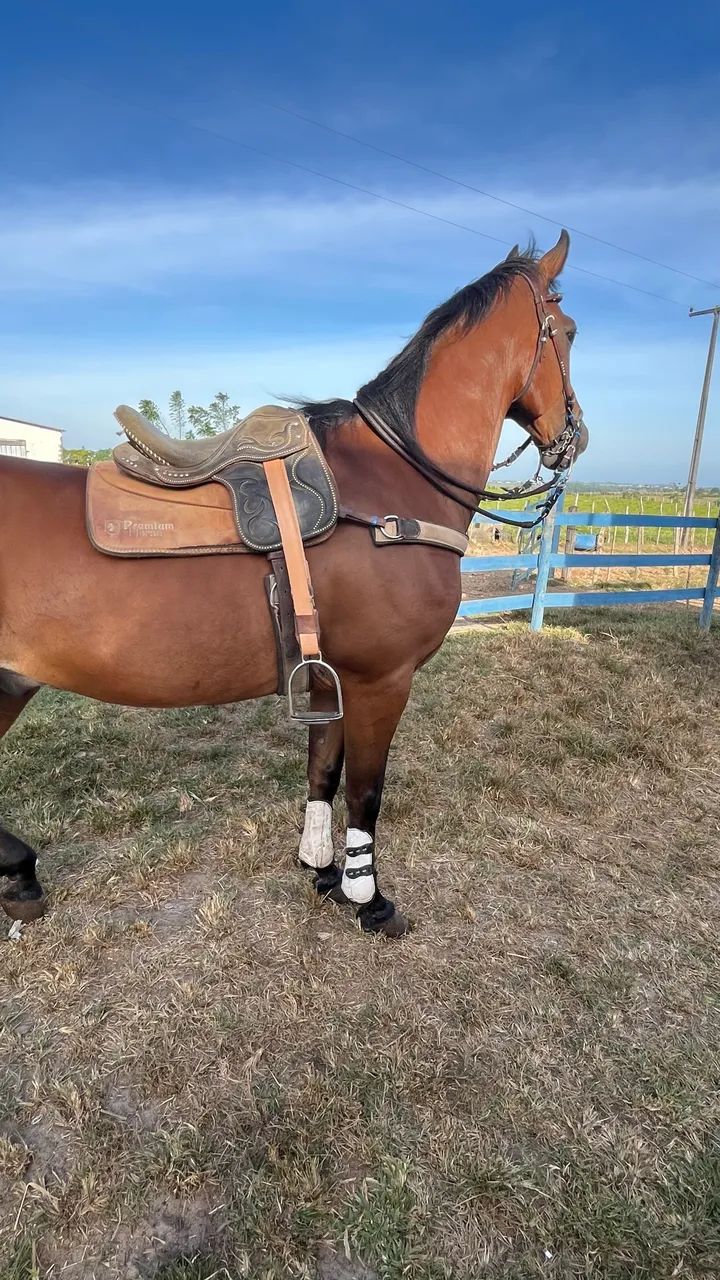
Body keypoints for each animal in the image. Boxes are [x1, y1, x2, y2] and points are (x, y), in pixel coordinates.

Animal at [0, 231, 586, 937]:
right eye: (569, 333)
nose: (575, 437)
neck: (392, 488)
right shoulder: (381, 678)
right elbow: (365, 789)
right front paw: (369, 898)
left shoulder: (331, 674)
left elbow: (323, 773)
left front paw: (324, 873)